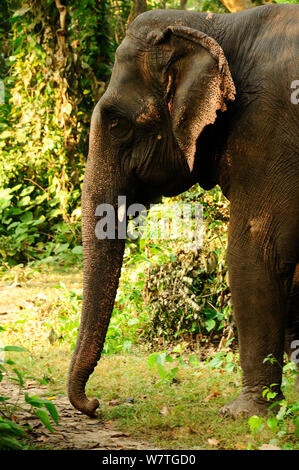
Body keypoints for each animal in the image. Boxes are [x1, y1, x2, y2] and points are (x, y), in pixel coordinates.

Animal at [68, 5, 299, 418]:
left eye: (117, 123)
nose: (93, 404)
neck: (217, 27)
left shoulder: (269, 130)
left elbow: (255, 253)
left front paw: (243, 415)